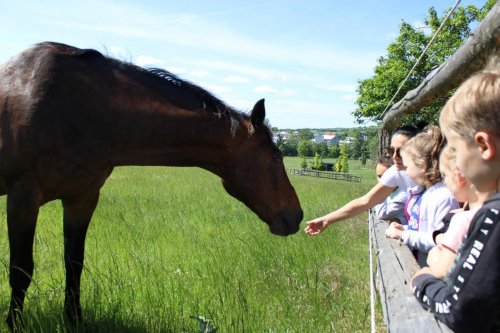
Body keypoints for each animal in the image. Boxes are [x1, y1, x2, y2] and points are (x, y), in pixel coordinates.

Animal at [0, 42, 300, 330]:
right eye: (277, 157)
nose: (297, 215)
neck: (88, 109)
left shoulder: (82, 199)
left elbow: (74, 264)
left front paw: (74, 320)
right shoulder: (23, 199)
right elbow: (21, 269)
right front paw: (14, 324)